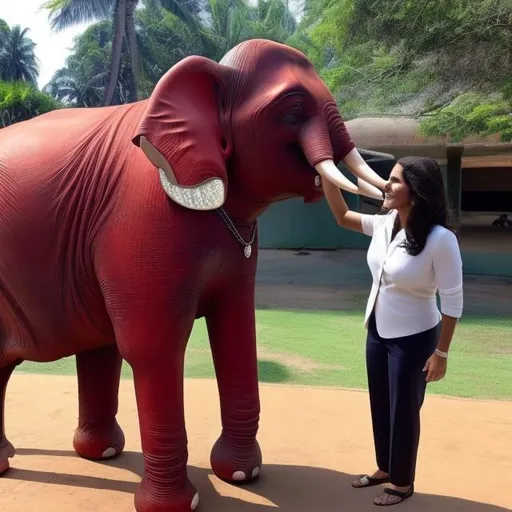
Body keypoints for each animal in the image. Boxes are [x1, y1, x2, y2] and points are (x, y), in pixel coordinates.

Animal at [0, 38, 384, 510]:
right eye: (292, 111)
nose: (387, 190)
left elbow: (236, 329)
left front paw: (240, 474)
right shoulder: (143, 218)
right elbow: (154, 347)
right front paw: (180, 505)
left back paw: (98, 453)